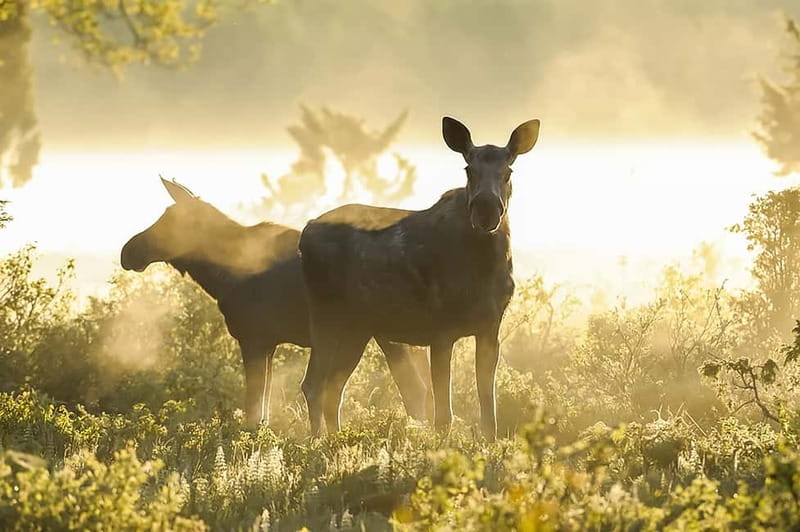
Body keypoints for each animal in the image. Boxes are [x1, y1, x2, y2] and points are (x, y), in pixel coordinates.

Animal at [120, 178, 432, 428]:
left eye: (170, 219)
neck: (220, 277)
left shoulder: (253, 339)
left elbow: (252, 410)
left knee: (410, 389)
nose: (127, 251)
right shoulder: (269, 343)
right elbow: (264, 412)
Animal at [298, 117, 540, 439]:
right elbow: (443, 415)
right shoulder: (441, 331)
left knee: (332, 389)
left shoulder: (490, 329)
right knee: (313, 385)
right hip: (326, 315)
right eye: (468, 169)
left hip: (357, 328)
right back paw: (317, 442)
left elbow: (489, 413)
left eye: (508, 171)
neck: (484, 268)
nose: (486, 210)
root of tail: (305, 232)